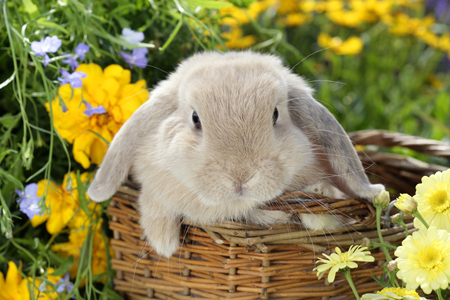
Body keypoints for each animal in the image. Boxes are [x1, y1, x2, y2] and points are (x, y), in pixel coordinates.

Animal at [87, 50, 384, 256]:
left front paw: (319, 195)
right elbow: (153, 202)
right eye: (195, 118)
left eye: (275, 114)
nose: (241, 175)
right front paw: (165, 243)